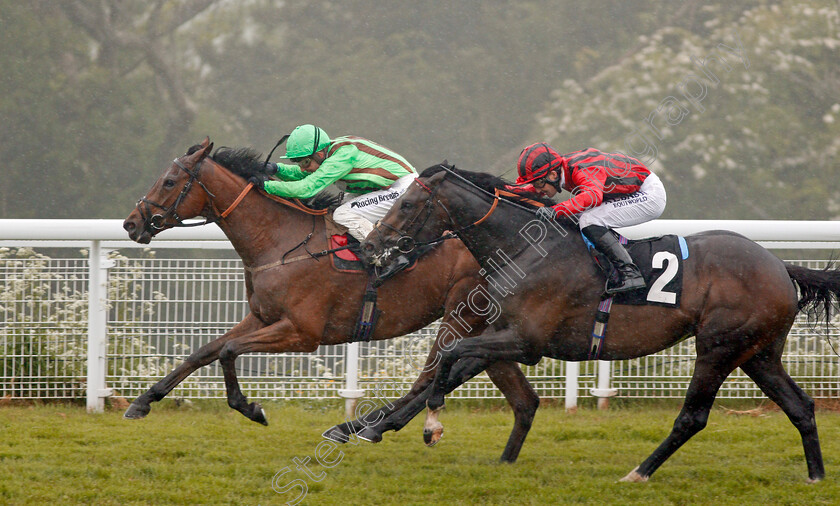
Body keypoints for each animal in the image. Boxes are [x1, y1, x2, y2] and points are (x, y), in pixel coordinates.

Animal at [120, 138, 540, 462]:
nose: (131, 222)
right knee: (520, 397)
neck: (279, 240)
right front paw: (143, 401)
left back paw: (364, 428)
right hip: (489, 325)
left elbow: (227, 352)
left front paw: (252, 408)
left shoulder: (302, 333)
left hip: (461, 313)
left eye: (169, 181)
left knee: (430, 375)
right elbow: (203, 351)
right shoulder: (262, 317)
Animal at [360, 163, 840, 482]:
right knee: (800, 405)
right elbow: (450, 369)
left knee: (693, 417)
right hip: (757, 352)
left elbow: (450, 358)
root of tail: (780, 265)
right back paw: (815, 476)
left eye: (407, 204)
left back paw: (639, 473)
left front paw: (431, 426)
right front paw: (373, 428)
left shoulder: (526, 341)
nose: (371, 245)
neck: (525, 248)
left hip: (719, 347)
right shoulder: (504, 335)